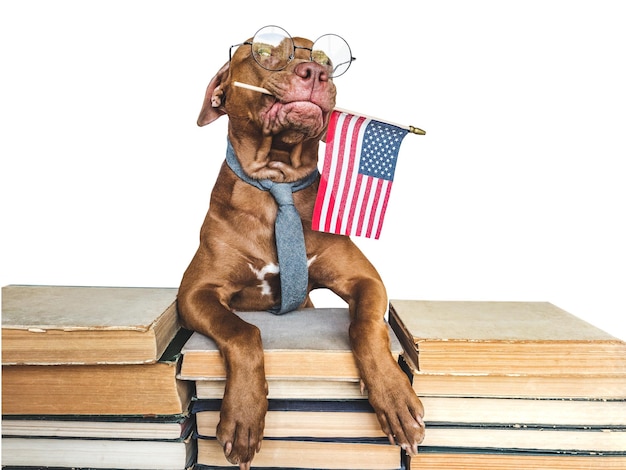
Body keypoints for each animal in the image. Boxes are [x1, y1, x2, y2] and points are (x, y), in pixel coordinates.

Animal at [176, 27, 424, 468]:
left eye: (327, 60)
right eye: (262, 50)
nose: (316, 73)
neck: (277, 179)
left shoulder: (366, 279)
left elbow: (366, 326)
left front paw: (395, 396)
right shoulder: (194, 292)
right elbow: (243, 330)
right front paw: (243, 415)